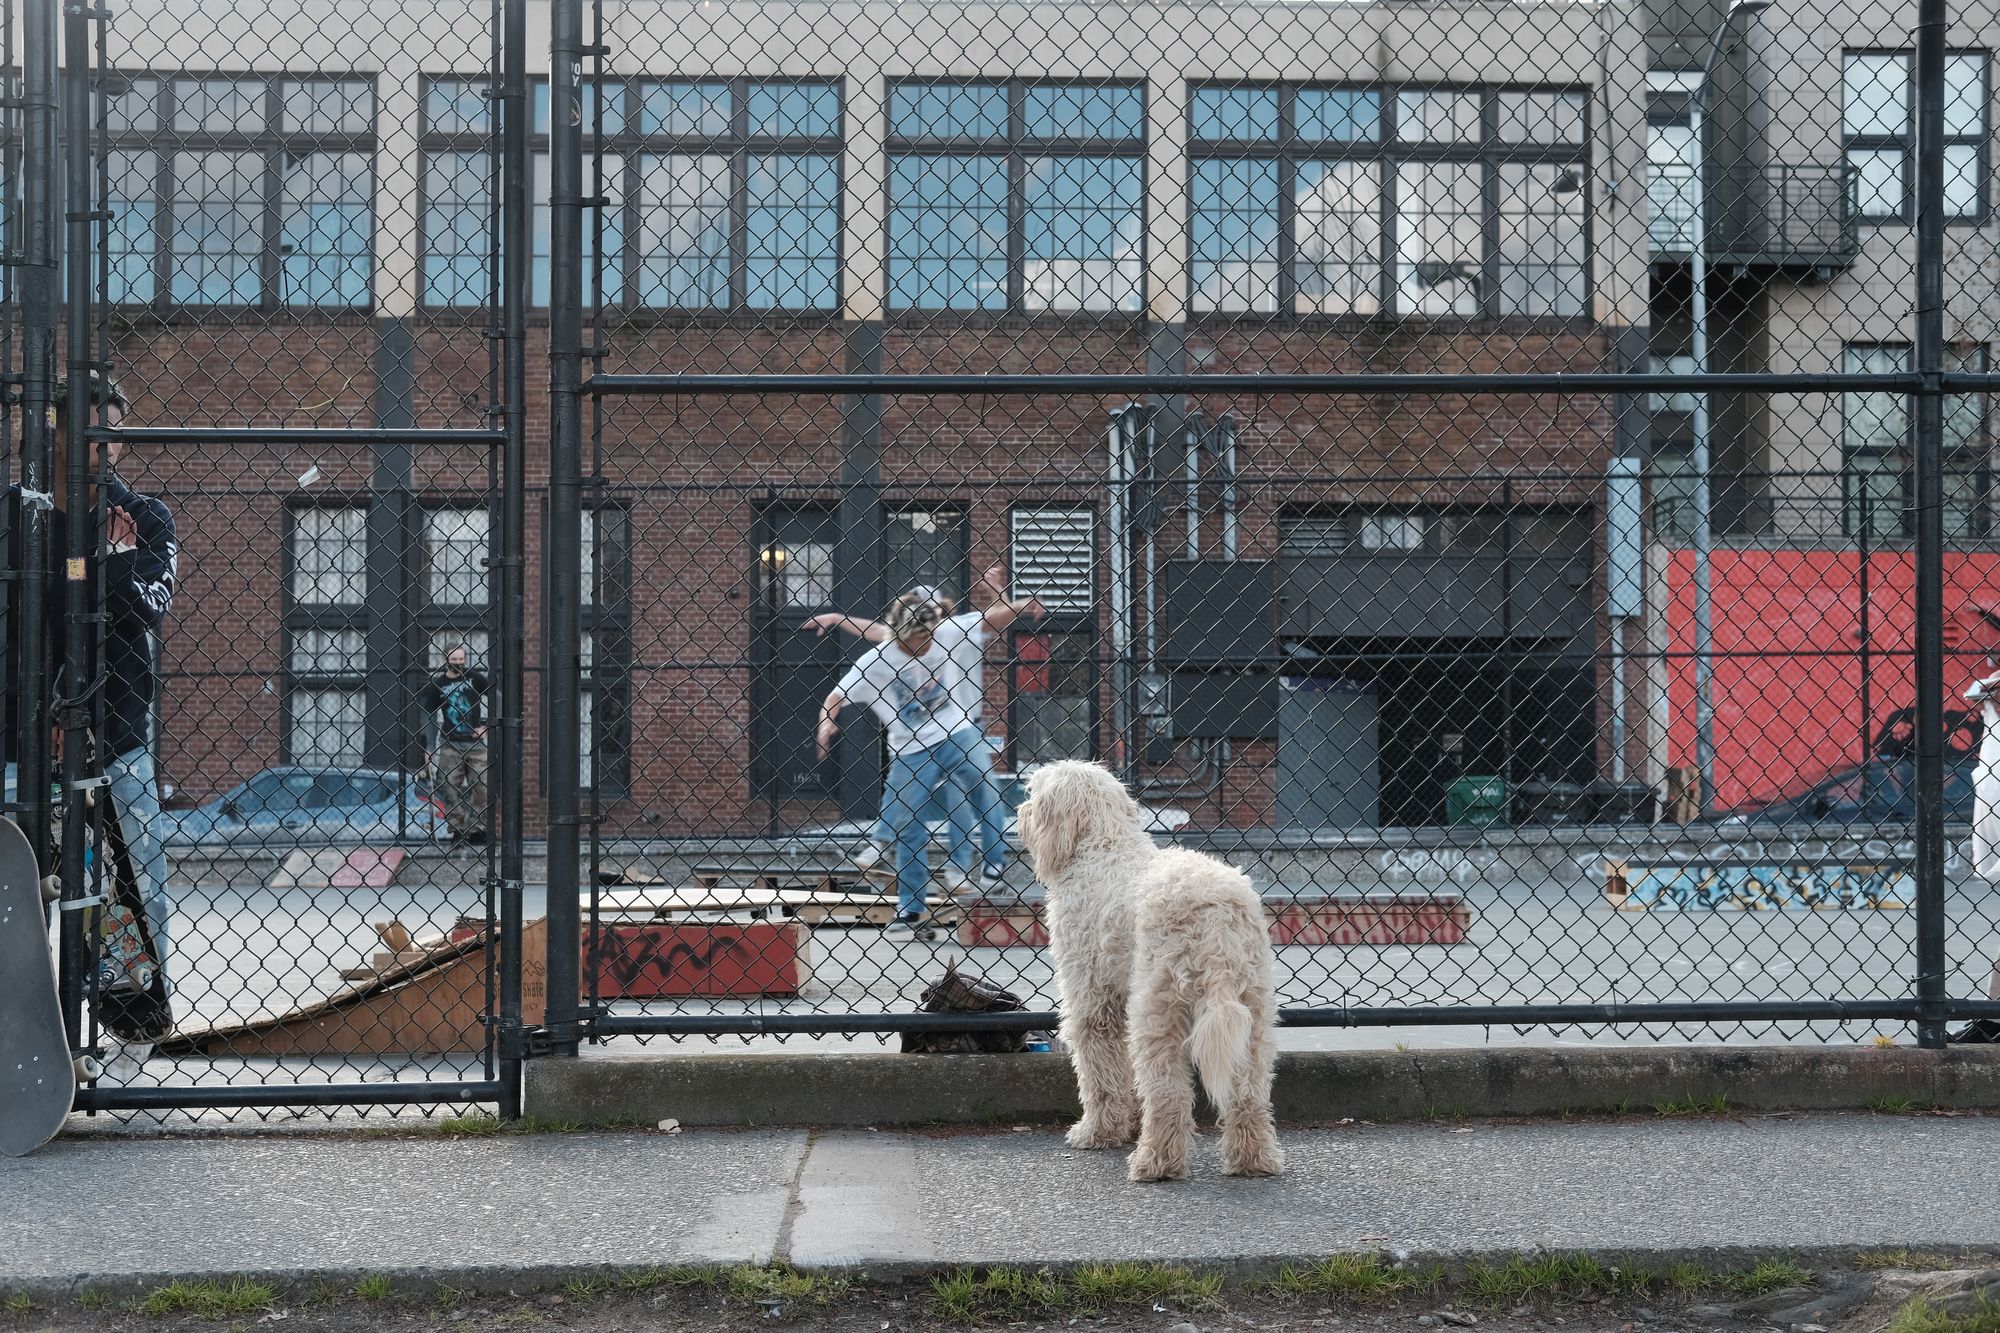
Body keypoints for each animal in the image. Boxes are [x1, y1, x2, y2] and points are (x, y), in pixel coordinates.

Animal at [1016, 752, 1280, 1176]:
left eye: (1034, 793)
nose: (1021, 814)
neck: (1102, 843)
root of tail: (1216, 917)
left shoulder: (1092, 996)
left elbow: (1101, 1073)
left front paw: (1098, 1132)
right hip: (1253, 1010)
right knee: (1248, 1091)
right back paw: (1253, 1159)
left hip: (1158, 1008)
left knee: (1168, 1093)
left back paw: (1155, 1162)